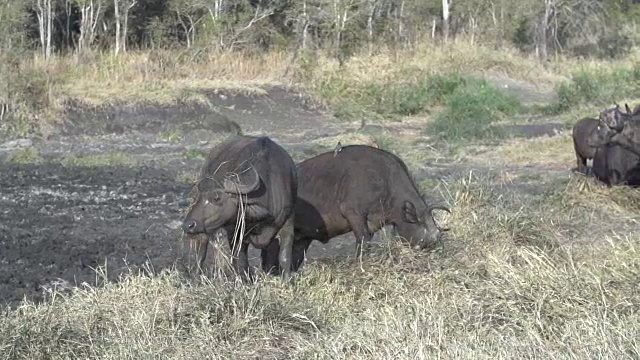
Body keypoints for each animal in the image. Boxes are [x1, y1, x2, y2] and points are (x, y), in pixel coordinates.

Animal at [182, 135, 298, 278]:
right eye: (197, 197)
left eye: (216, 197)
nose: (188, 225)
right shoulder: (235, 233)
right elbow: (241, 262)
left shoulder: (288, 222)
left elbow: (284, 257)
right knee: (202, 246)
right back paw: (195, 275)